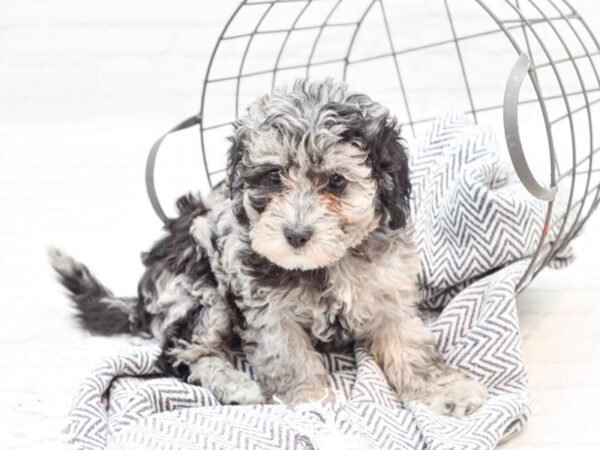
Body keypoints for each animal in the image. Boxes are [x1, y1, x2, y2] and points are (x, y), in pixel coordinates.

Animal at [49, 79, 486, 416]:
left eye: (337, 182)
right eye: (274, 178)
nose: (295, 235)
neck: (327, 264)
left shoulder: (388, 294)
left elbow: (413, 349)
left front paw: (446, 392)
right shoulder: (268, 310)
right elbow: (289, 357)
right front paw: (313, 402)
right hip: (199, 289)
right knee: (181, 354)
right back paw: (235, 386)